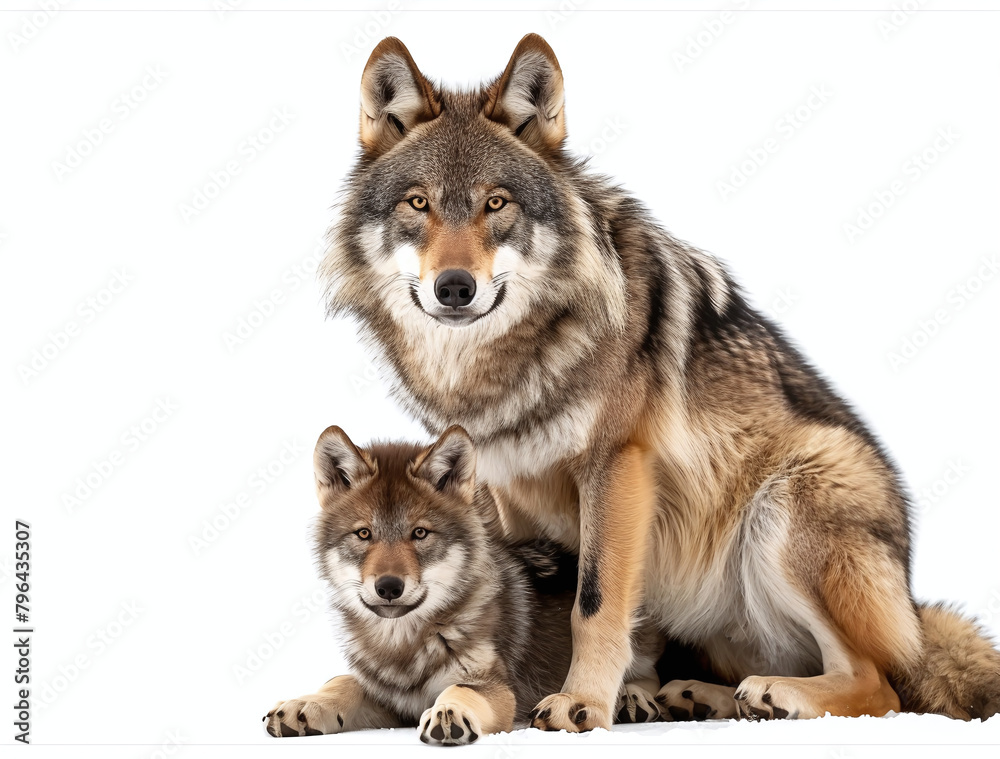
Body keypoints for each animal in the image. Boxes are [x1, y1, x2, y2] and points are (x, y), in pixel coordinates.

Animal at [265, 425, 663, 745]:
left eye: (420, 533)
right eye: (364, 534)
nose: (389, 586)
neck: (403, 646)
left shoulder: (497, 689)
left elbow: (458, 690)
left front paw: (450, 712)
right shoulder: (389, 698)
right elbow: (341, 680)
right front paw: (306, 703)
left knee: (648, 671)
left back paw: (634, 699)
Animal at [321, 34, 1000, 729]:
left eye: (496, 203)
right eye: (419, 203)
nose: (454, 287)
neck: (499, 364)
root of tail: (912, 600)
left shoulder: (617, 464)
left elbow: (593, 602)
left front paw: (581, 704)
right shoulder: (506, 488)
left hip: (786, 502)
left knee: (881, 687)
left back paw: (772, 695)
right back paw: (694, 696)